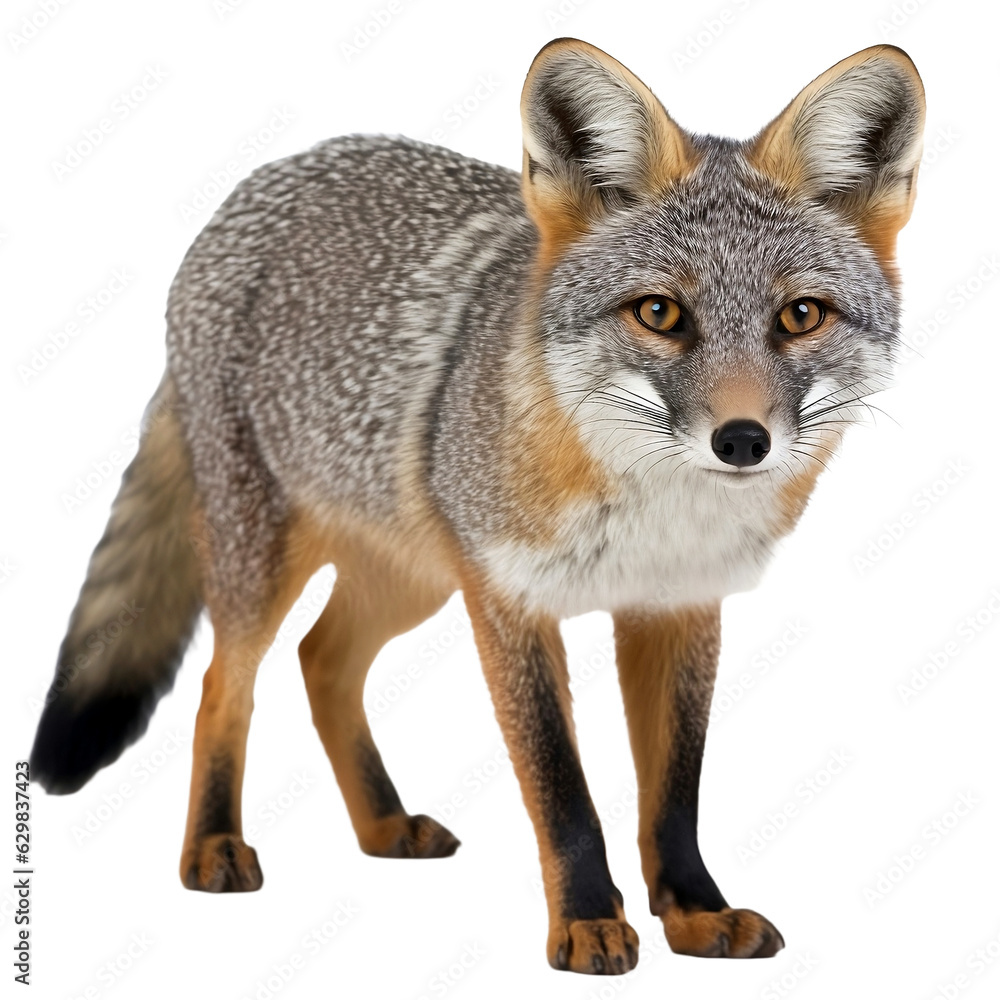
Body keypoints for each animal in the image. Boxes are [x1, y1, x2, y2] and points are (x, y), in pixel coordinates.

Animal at [30, 37, 925, 975]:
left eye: (800, 316)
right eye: (659, 313)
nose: (743, 440)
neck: (650, 515)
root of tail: (259, 184)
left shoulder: (679, 607)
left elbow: (675, 793)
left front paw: (693, 911)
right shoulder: (508, 604)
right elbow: (562, 788)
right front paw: (587, 922)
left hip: (410, 578)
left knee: (323, 660)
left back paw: (382, 824)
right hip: (266, 559)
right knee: (221, 685)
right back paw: (211, 846)